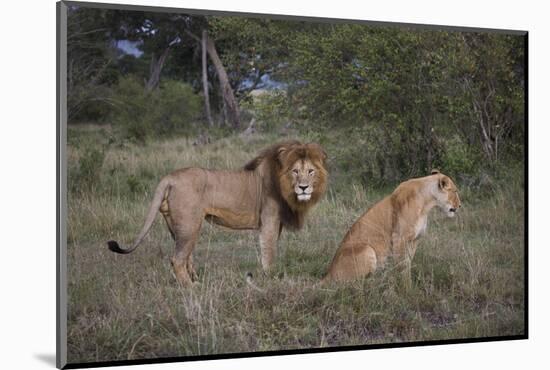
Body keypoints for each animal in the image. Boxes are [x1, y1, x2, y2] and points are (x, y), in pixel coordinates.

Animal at [110, 140, 330, 288]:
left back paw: (195, 280)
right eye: (295, 171)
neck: (284, 186)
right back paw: (190, 288)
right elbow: (269, 251)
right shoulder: (269, 221)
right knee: (177, 259)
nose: (303, 188)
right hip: (190, 224)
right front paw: (271, 278)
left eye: (311, 171)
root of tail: (169, 177)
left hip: (177, 226)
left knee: (186, 256)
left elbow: (270, 249)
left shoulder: (277, 224)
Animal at [324, 171, 462, 286]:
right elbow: (402, 265)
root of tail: (328, 274)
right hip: (367, 249)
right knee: (354, 284)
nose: (460, 205)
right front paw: (405, 287)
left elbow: (408, 262)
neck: (426, 204)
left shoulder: (415, 240)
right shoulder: (400, 238)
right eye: (455, 191)